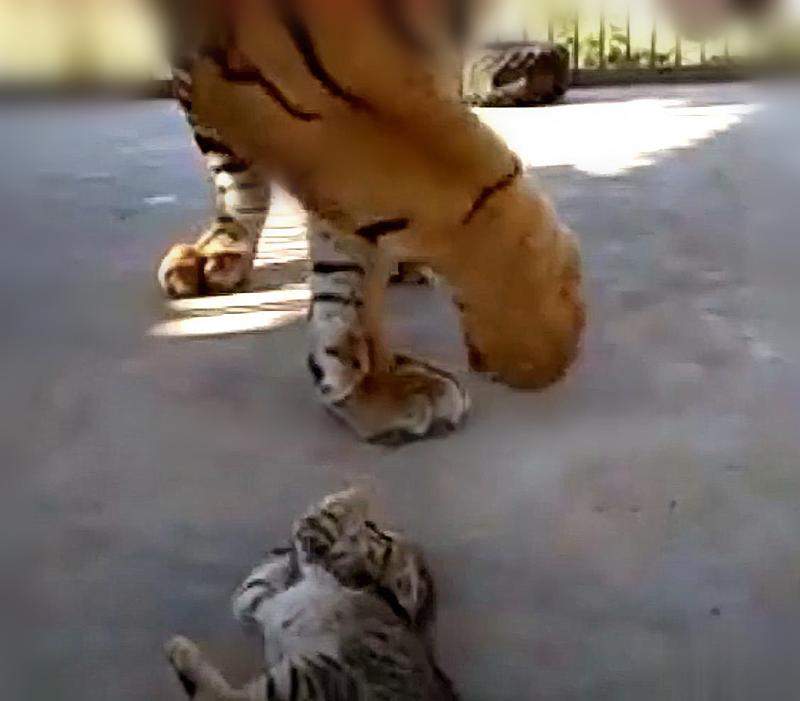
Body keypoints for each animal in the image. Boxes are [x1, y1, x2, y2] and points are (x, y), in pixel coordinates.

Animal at [165, 488, 459, 700]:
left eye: (380, 535)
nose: (371, 522)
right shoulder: (265, 598)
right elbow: (254, 588)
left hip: (314, 673)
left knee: (224, 697)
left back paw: (183, 653)